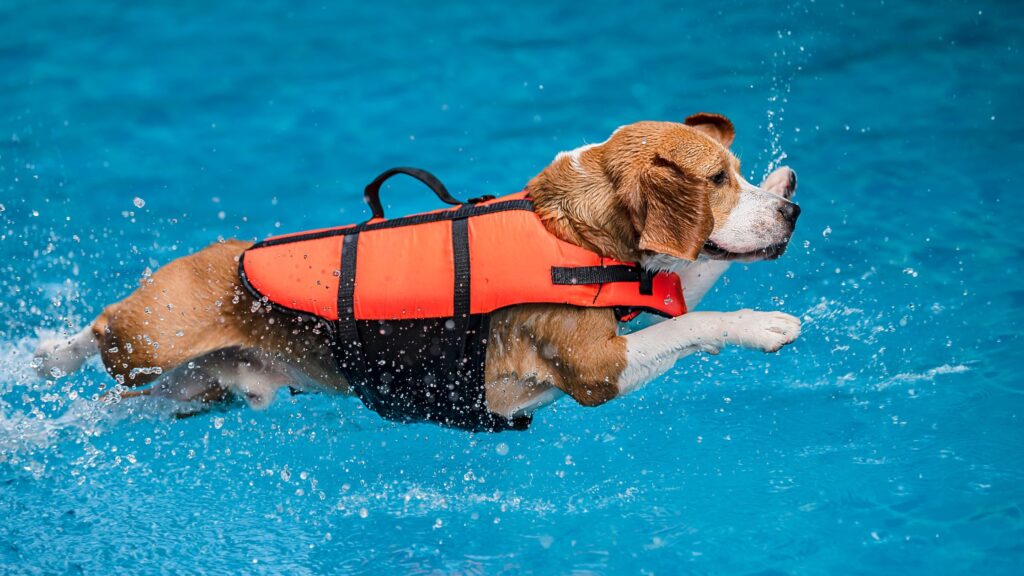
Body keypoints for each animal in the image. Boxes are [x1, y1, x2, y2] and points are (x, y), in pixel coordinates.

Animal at [32, 113, 802, 426]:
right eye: (717, 179)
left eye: (737, 171)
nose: (792, 214)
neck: (571, 228)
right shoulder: (596, 371)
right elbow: (694, 320)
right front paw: (762, 324)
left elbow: (696, 282)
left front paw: (780, 184)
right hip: (151, 337)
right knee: (99, 332)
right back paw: (41, 356)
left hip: (199, 391)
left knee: (116, 402)